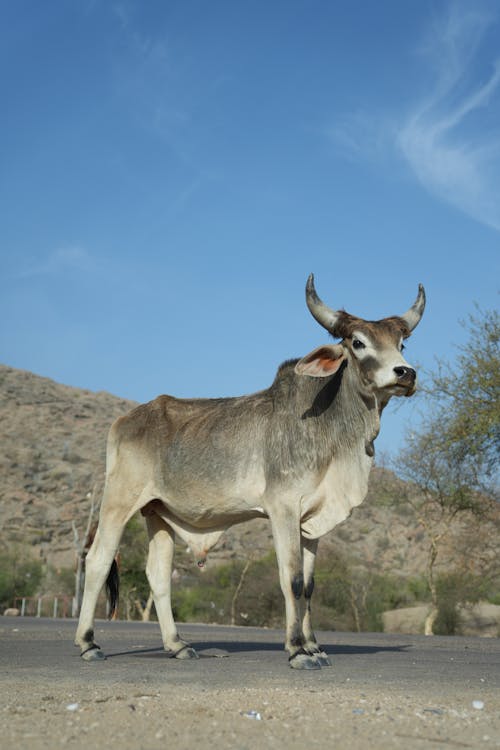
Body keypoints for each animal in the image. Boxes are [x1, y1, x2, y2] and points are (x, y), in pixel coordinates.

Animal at [75, 274, 426, 668]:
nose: (405, 373)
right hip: (119, 501)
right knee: (98, 560)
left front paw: (315, 646)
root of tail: (126, 419)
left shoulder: (312, 521)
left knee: (158, 575)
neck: (334, 433)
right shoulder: (283, 509)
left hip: (157, 514)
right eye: (358, 342)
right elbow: (292, 579)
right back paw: (88, 643)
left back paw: (177, 644)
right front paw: (297, 649)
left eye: (401, 343)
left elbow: (309, 585)